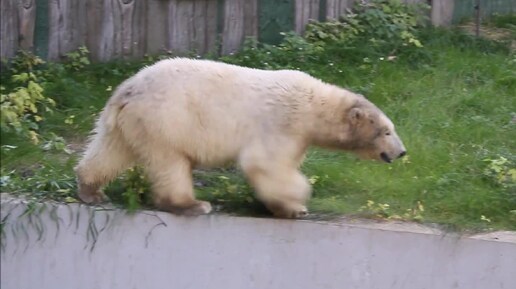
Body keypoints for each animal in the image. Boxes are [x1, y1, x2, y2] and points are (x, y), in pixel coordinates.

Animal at [75, 57, 408, 217]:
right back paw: (193, 204)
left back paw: (91, 190)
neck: (314, 105)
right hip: (166, 121)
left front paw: (286, 206)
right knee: (171, 162)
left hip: (130, 123)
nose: (402, 152)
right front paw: (297, 202)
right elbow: (264, 163)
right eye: (386, 131)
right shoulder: (283, 123)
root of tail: (126, 91)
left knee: (110, 151)